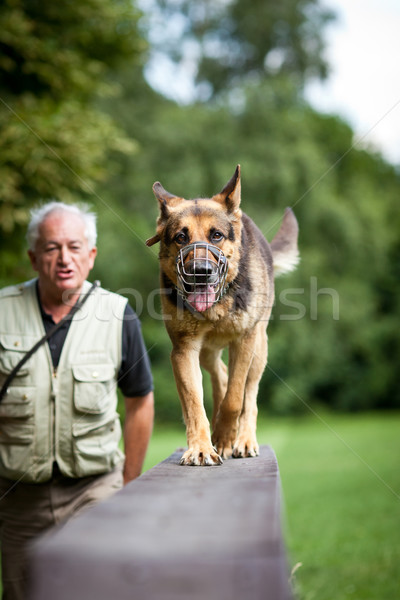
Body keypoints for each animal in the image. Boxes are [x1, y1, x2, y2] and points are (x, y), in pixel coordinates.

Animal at [146, 166, 296, 466]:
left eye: (216, 235)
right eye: (181, 237)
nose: (200, 272)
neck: (217, 307)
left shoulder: (244, 342)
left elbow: (235, 398)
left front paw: (226, 438)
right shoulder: (184, 351)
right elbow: (194, 402)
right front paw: (202, 447)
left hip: (259, 348)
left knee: (248, 394)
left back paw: (244, 438)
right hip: (206, 352)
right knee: (220, 376)